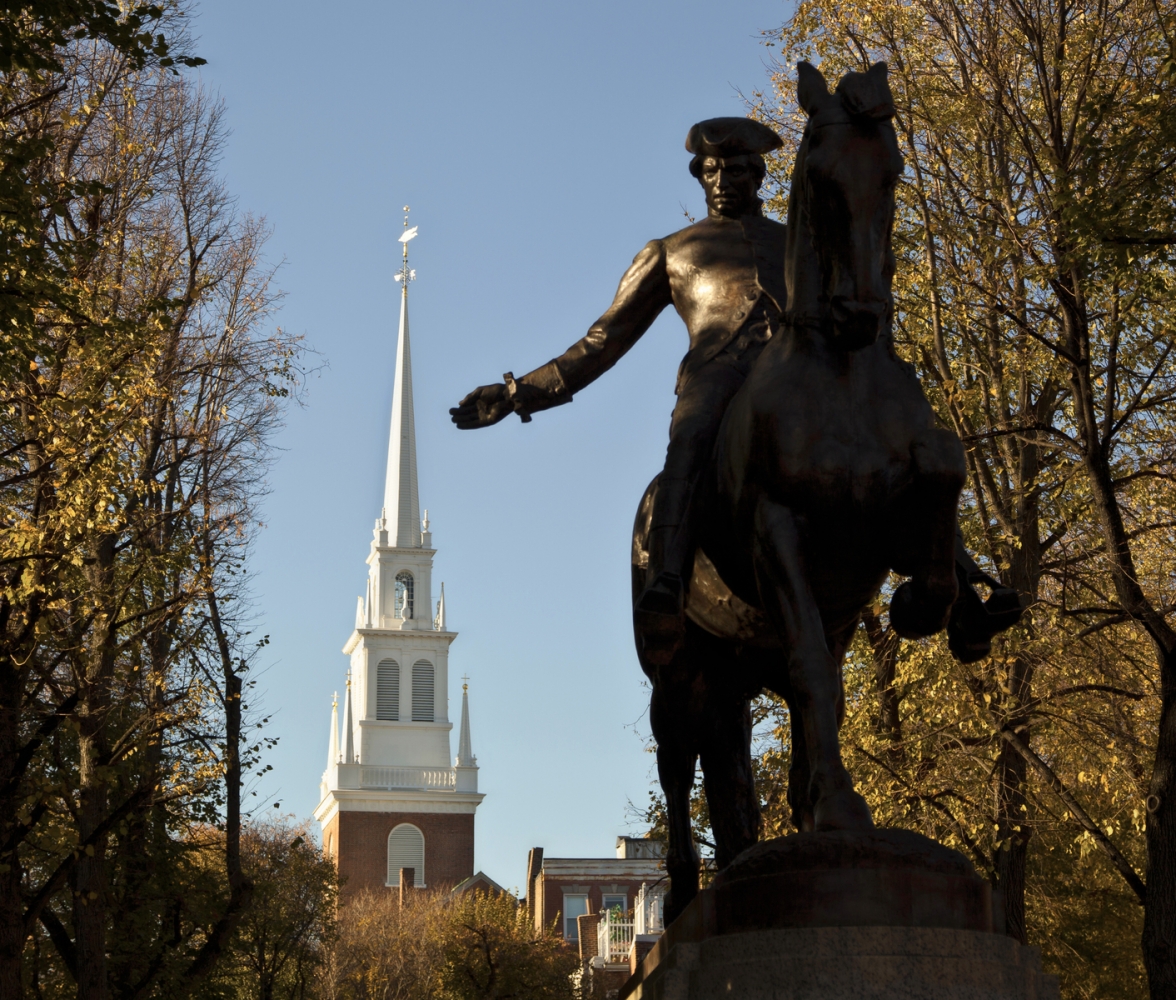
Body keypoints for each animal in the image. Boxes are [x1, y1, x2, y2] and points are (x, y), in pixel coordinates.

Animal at [635, 60, 1020, 917]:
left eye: (895, 170)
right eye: (820, 170)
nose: (858, 311)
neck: (841, 374)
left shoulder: (870, 551)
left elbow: (943, 473)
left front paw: (937, 608)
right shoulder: (777, 531)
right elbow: (814, 669)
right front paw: (839, 808)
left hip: (740, 668)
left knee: (738, 770)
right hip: (679, 673)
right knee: (680, 770)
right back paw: (683, 900)